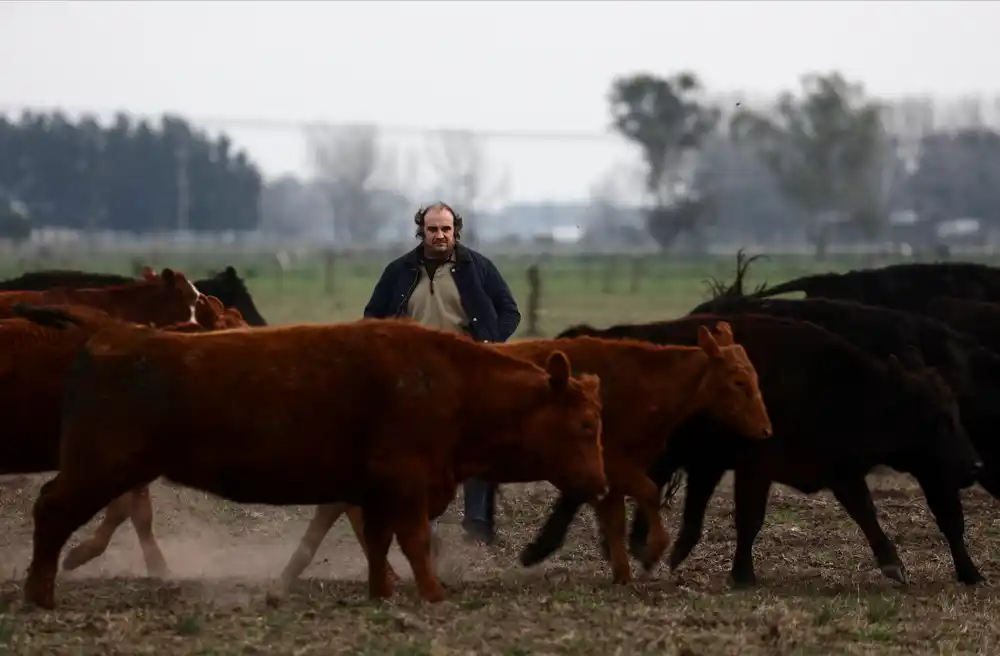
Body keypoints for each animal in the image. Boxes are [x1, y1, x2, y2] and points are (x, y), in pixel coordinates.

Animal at [19, 318, 604, 608]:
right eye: (585, 425)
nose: (599, 485)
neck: (451, 384)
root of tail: (109, 339)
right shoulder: (406, 485)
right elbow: (413, 541)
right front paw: (433, 594)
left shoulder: (375, 491)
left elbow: (379, 543)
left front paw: (382, 592)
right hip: (98, 468)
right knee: (51, 510)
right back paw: (40, 594)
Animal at [280, 320, 772, 588]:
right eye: (738, 381)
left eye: (754, 376)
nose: (767, 430)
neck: (640, 381)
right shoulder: (617, 463)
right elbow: (648, 493)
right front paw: (651, 554)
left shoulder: (605, 474)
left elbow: (613, 519)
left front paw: (623, 573)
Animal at [524, 316, 984, 588]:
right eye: (939, 418)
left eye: (956, 412)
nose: (973, 464)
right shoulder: (755, 466)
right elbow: (750, 518)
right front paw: (742, 573)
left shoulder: (838, 469)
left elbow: (865, 512)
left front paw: (894, 564)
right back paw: (542, 548)